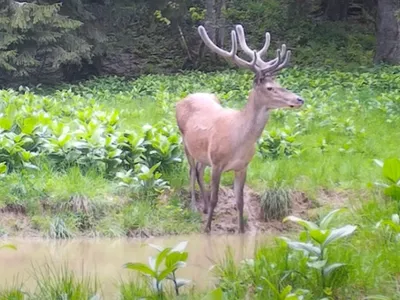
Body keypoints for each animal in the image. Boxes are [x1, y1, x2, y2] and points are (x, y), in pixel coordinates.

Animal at [175, 24, 304, 233]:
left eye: (280, 83)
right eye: (269, 88)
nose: (299, 99)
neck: (239, 141)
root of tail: (181, 100)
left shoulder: (243, 166)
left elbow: (240, 201)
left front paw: (242, 230)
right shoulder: (217, 163)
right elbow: (215, 199)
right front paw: (207, 229)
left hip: (203, 152)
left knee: (199, 170)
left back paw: (203, 206)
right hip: (185, 142)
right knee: (192, 171)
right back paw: (195, 206)